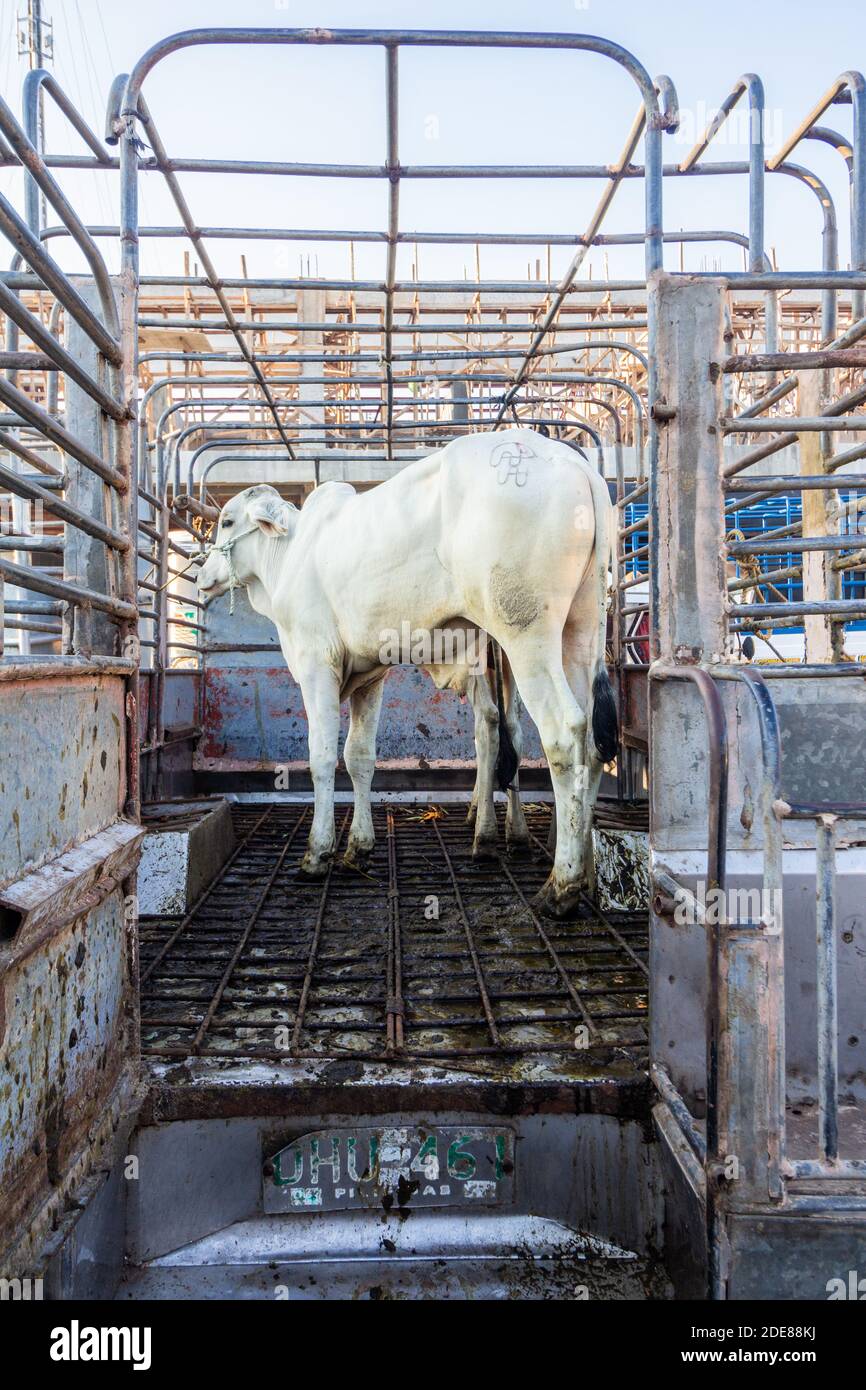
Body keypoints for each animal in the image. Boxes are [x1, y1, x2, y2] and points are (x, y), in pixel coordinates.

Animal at [195, 428, 617, 917]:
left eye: (227, 522)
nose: (202, 576)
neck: (290, 555)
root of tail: (574, 463)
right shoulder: (369, 676)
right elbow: (359, 757)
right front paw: (358, 847)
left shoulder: (317, 666)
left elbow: (321, 757)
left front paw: (318, 852)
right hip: (577, 633)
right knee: (582, 740)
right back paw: (581, 872)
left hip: (526, 637)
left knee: (562, 734)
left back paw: (560, 885)